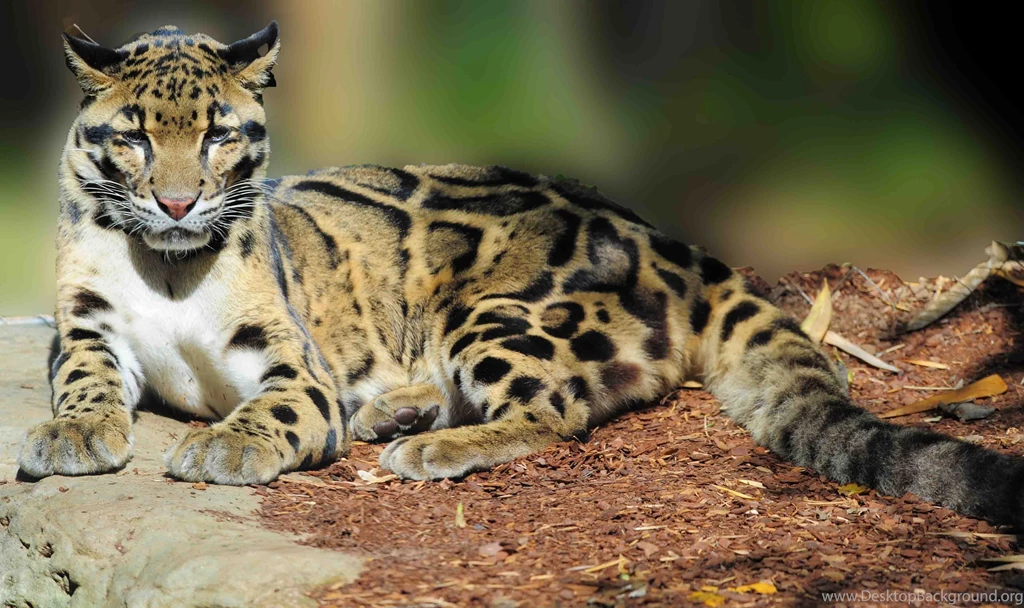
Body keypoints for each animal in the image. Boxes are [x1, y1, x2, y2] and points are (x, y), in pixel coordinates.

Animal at [17, 22, 1024, 531]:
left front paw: (227, 444)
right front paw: (75, 431)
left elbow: (279, 404)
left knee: (558, 408)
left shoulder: (293, 363)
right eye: (134, 135)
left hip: (497, 311)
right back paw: (399, 411)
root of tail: (674, 242)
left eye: (219, 133)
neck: (167, 266)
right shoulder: (86, 324)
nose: (178, 202)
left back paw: (427, 446)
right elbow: (84, 375)